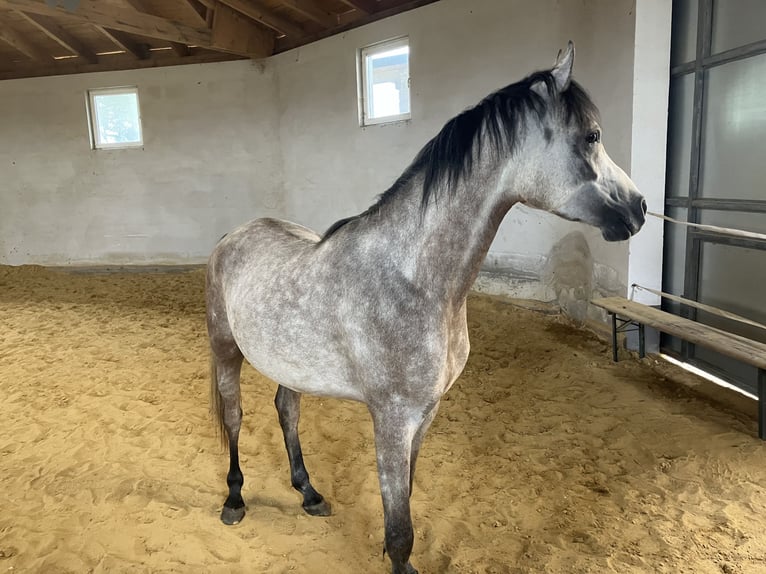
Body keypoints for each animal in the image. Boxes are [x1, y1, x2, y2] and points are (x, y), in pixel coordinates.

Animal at [207, 44, 644, 574]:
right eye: (592, 136)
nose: (640, 208)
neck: (415, 282)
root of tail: (234, 235)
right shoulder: (392, 420)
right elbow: (399, 529)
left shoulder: (424, 415)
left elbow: (406, 503)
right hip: (225, 351)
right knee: (234, 418)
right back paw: (234, 500)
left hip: (290, 366)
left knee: (286, 413)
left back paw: (309, 493)